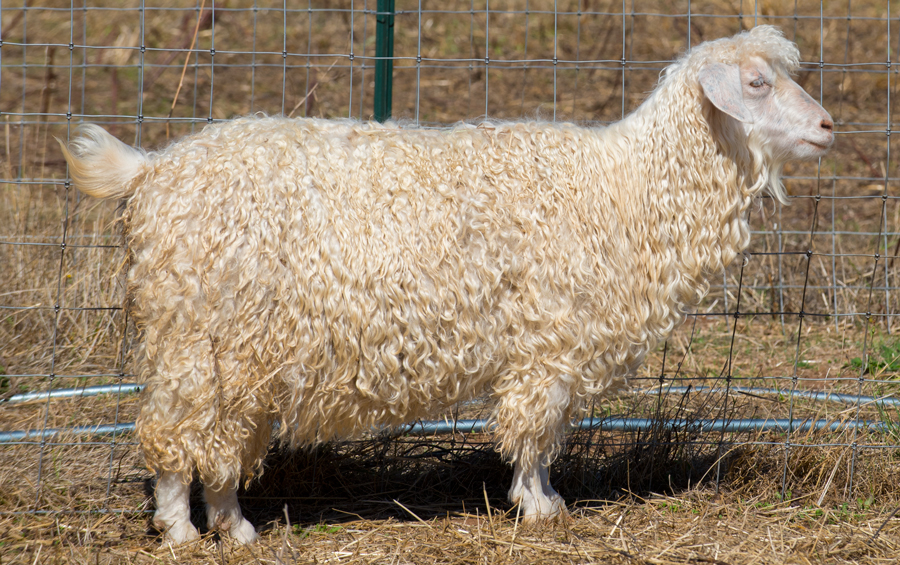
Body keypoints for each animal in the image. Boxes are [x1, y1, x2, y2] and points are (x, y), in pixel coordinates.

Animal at [61, 26, 836, 540]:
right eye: (758, 84)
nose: (829, 126)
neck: (622, 187)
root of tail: (150, 170)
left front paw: (540, 501)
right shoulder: (548, 342)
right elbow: (537, 430)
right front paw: (541, 506)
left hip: (236, 349)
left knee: (221, 442)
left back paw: (236, 530)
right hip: (195, 338)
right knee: (174, 436)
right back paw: (184, 532)